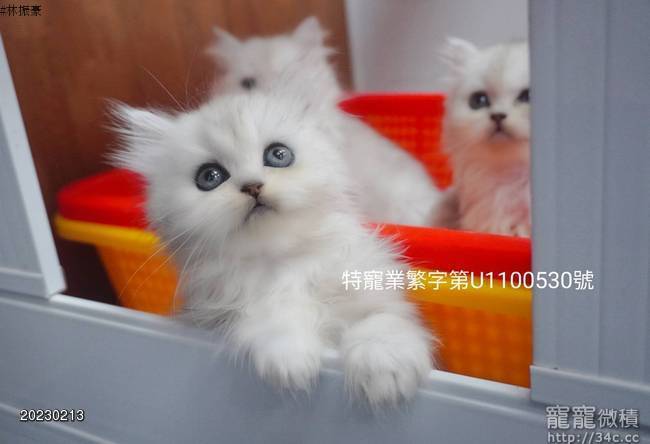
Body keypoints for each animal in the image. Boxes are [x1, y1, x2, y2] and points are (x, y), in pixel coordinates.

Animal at [112, 89, 434, 409]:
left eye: (278, 155)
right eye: (209, 176)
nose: (252, 186)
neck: (284, 262)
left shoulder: (374, 288)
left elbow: (381, 322)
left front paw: (385, 372)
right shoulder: (222, 311)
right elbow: (269, 321)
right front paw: (291, 362)